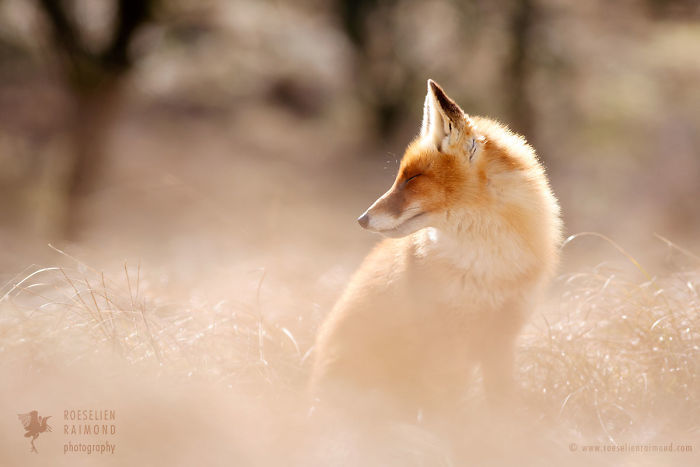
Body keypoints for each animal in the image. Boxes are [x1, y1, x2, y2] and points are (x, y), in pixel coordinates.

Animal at [312, 78, 564, 422]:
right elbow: (451, 414)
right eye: (400, 177)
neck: (489, 267)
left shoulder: (502, 340)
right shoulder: (446, 345)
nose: (361, 219)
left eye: (413, 178)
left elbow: (501, 406)